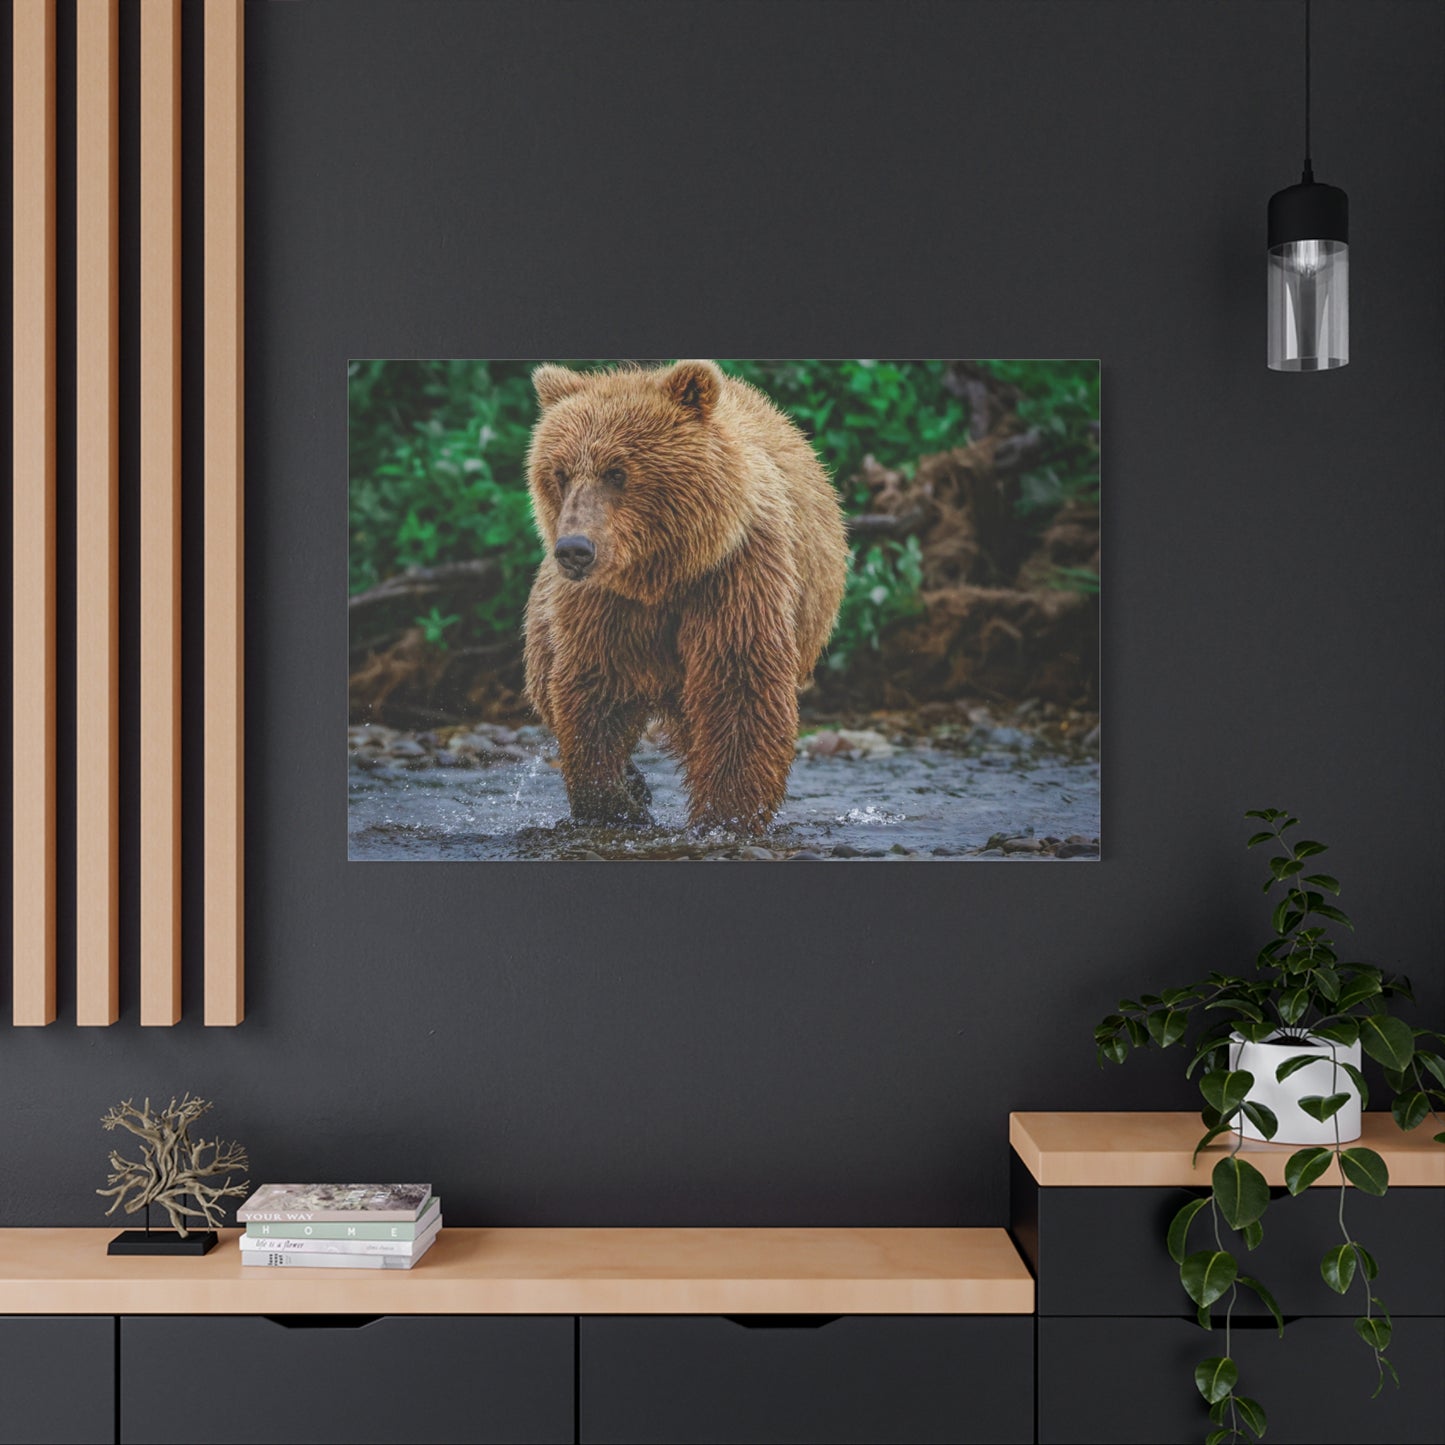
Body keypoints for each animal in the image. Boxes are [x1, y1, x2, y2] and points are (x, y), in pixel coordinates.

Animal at [523, 360, 848, 834]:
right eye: (559, 473)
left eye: (617, 471)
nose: (575, 550)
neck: (662, 574)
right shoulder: (605, 606)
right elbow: (593, 692)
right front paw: (617, 802)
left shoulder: (734, 577)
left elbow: (739, 689)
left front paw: (726, 814)